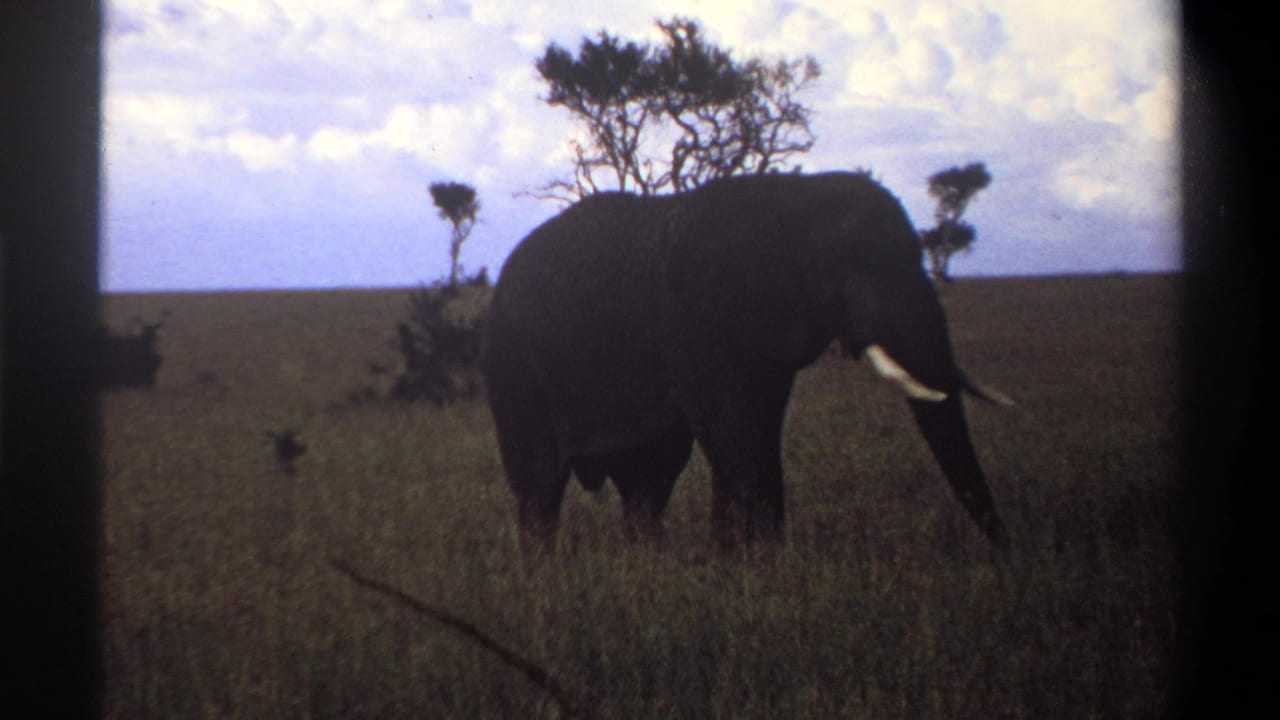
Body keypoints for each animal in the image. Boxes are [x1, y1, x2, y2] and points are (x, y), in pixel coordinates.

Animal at [481, 171, 1011, 551]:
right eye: (855, 271)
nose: (1004, 554)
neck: (792, 196)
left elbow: (757, 427)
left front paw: (743, 560)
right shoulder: (694, 320)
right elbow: (735, 431)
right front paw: (754, 565)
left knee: (648, 478)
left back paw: (646, 565)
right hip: (512, 364)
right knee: (540, 482)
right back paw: (545, 573)